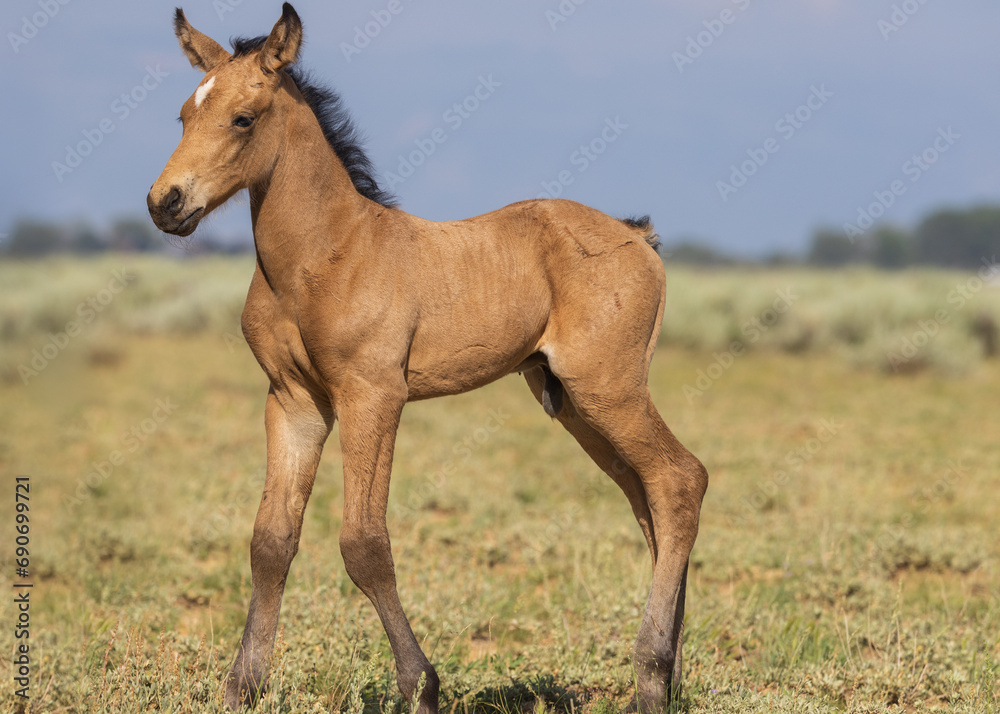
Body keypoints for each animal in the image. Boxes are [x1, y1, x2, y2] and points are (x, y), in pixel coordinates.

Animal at [147, 4, 707, 712]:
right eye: (183, 115)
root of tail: (637, 236)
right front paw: (242, 685)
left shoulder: (372, 396)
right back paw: (670, 672)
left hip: (609, 387)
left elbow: (364, 543)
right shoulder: (294, 401)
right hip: (574, 402)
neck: (323, 256)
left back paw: (651, 678)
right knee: (648, 498)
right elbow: (271, 540)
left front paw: (421, 684)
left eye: (243, 118)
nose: (165, 203)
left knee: (680, 480)